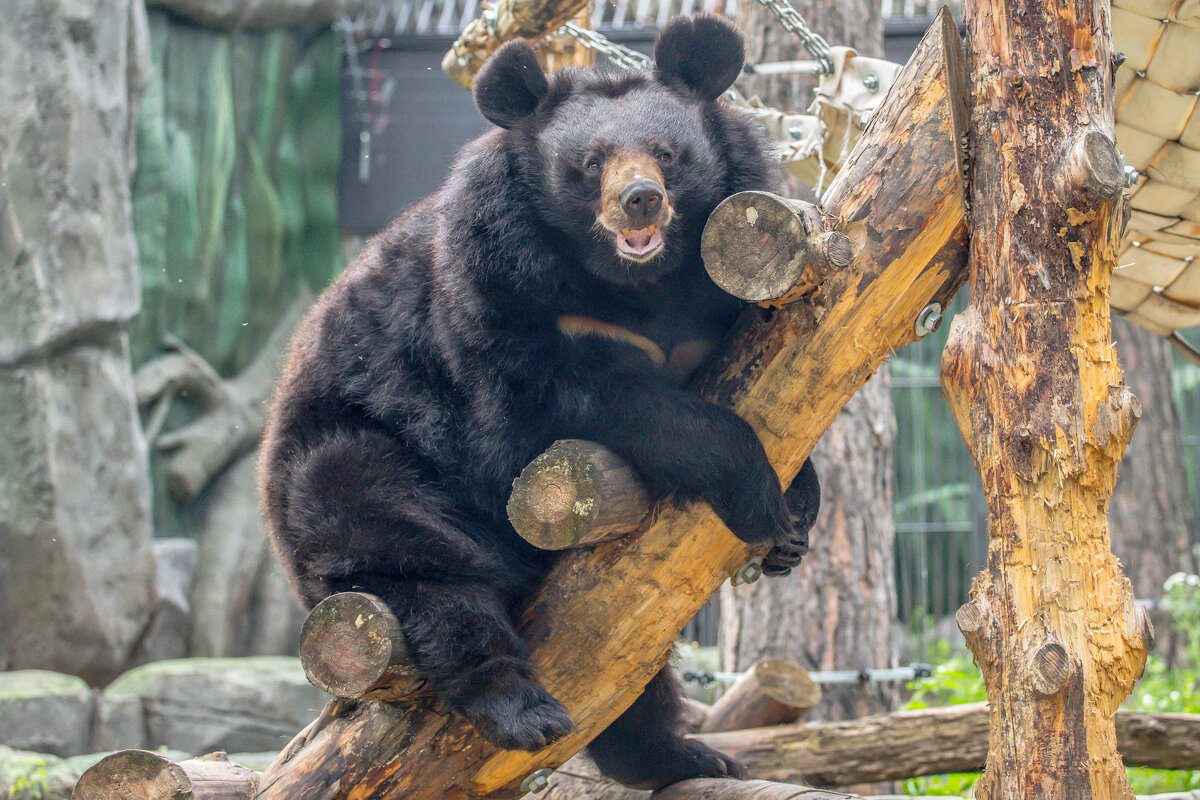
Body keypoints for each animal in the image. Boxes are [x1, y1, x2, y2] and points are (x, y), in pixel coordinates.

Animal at [262, 15, 820, 791]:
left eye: (668, 154)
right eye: (589, 164)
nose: (640, 199)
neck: (636, 284)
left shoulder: (716, 299)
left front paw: (797, 518)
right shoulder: (498, 294)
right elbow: (571, 409)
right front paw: (758, 497)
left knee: (627, 652)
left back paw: (681, 753)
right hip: (351, 457)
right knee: (417, 565)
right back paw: (523, 711)